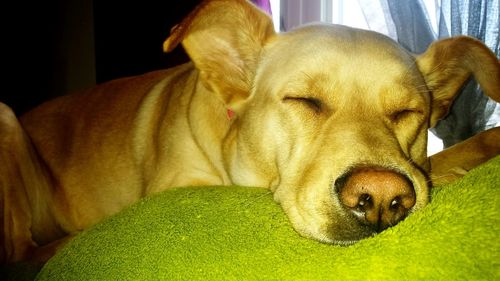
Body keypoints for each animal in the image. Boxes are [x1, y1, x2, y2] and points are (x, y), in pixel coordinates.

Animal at [0, 0, 500, 262]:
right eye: (304, 100)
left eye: (407, 111)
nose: (380, 198)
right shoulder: (179, 188)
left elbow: (447, 158)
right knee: (22, 251)